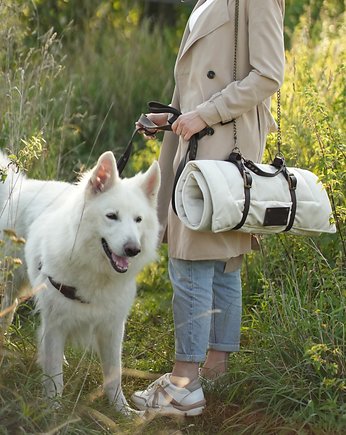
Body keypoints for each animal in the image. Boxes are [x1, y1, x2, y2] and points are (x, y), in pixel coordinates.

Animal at [0, 152, 161, 414]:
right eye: (112, 216)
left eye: (138, 220)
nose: (133, 249)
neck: (95, 270)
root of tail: (23, 184)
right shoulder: (55, 324)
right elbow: (55, 376)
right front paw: (54, 411)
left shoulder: (112, 328)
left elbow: (114, 375)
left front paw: (122, 411)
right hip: (9, 287)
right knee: (6, 317)